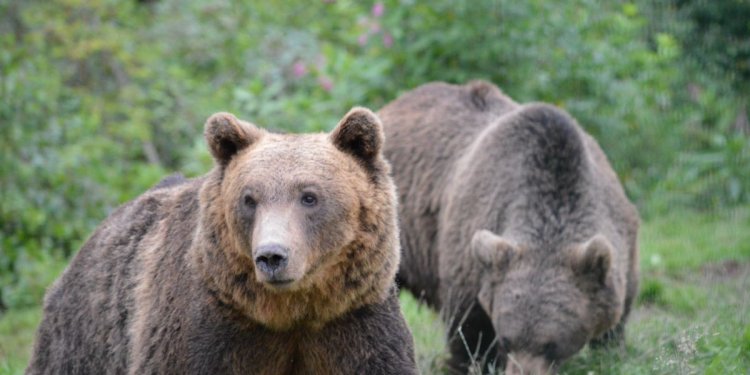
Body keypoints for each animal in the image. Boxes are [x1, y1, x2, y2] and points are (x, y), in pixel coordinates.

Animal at [26, 107, 420, 374]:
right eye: (249, 198)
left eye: (309, 196)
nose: (271, 256)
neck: (291, 312)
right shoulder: (210, 330)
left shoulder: (353, 321)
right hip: (82, 340)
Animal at [382, 81, 640, 374]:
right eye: (507, 340)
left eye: (551, 344)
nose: (521, 371)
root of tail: (392, 105)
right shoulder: (472, 244)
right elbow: (469, 325)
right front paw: (470, 363)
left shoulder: (622, 241)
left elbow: (618, 312)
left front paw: (610, 351)